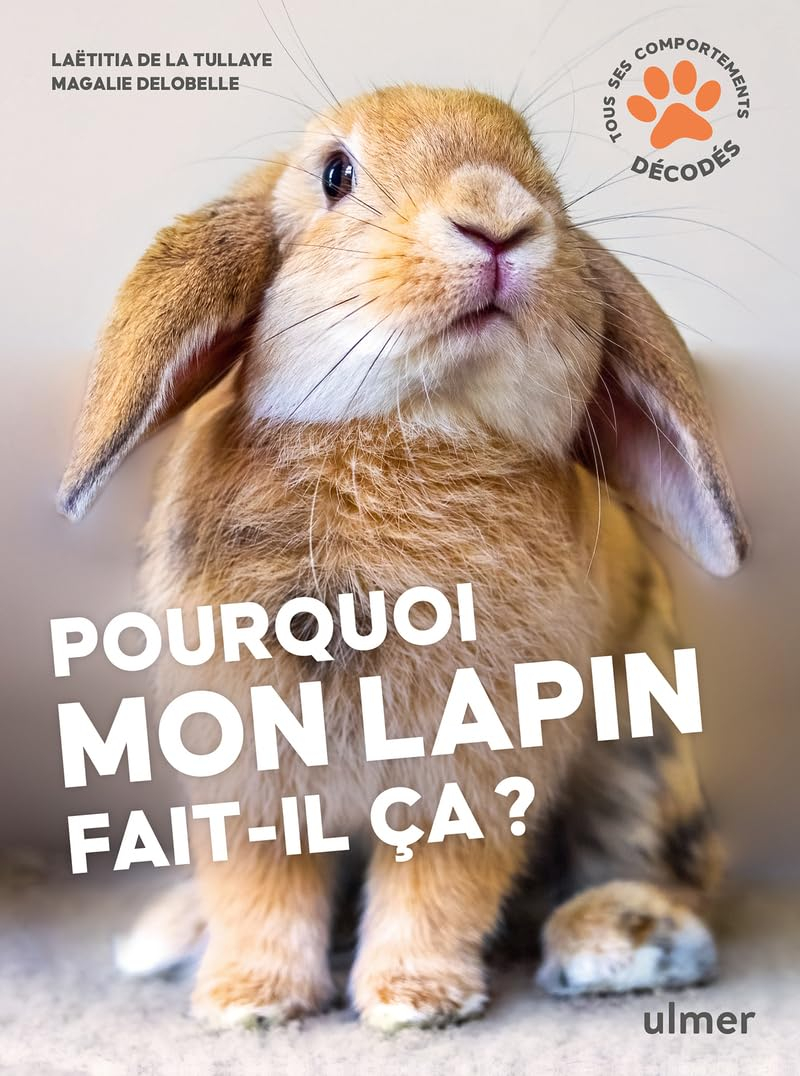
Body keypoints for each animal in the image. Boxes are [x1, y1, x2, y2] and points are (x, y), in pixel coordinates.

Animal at [59, 85, 749, 1031]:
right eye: (335, 175)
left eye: (542, 173)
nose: (499, 220)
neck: (414, 425)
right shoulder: (243, 758)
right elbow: (260, 882)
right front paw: (249, 999)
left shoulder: (473, 762)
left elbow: (437, 883)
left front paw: (410, 1001)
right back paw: (170, 937)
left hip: (641, 764)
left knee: (668, 869)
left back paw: (616, 939)